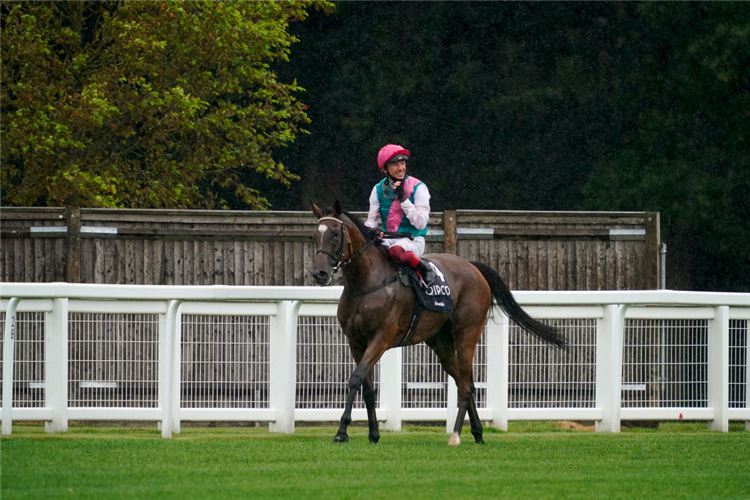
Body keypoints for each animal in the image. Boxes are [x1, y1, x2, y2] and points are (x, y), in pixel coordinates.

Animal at [310, 201, 564, 444]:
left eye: (335, 233)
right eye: (315, 234)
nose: (319, 273)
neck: (367, 284)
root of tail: (473, 267)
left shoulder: (381, 338)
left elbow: (355, 379)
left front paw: (341, 432)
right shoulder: (355, 341)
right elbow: (368, 388)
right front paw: (373, 434)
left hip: (467, 335)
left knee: (465, 386)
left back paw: (456, 435)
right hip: (440, 341)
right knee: (465, 382)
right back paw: (477, 432)